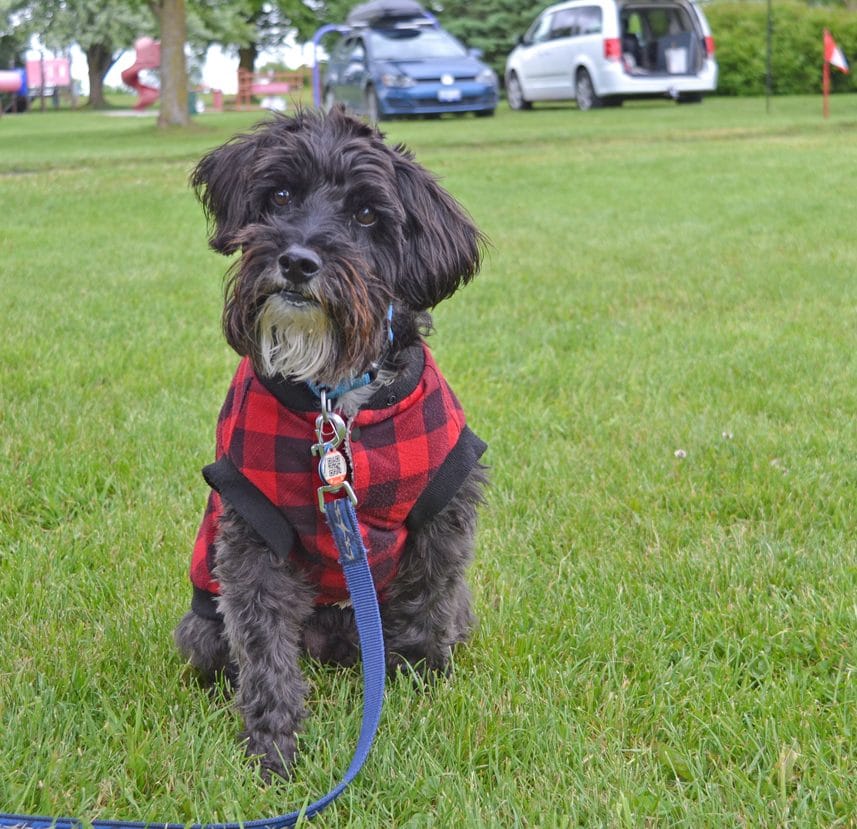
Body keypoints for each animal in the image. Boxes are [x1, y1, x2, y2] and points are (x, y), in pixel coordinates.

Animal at [174, 107, 487, 780]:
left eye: (367, 215)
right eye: (280, 196)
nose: (297, 261)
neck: (333, 396)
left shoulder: (442, 516)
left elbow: (427, 606)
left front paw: (421, 690)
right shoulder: (254, 536)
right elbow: (263, 646)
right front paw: (272, 745)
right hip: (201, 626)